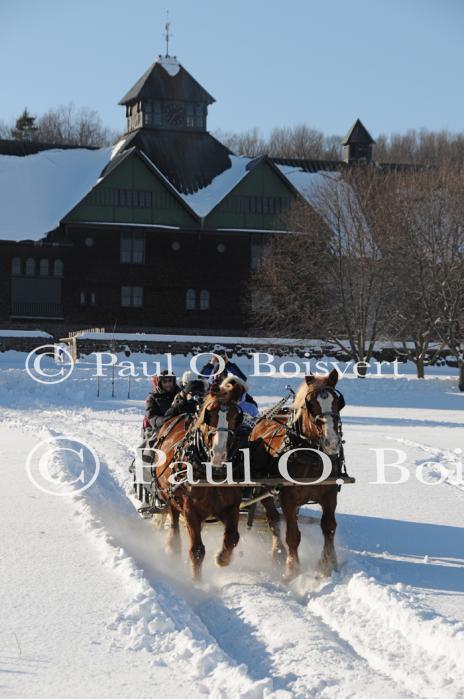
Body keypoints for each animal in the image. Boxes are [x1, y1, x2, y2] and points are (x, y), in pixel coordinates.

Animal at [154, 382, 245, 580]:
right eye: (208, 415)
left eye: (236, 416)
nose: (219, 455)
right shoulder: (190, 510)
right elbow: (196, 550)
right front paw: (197, 581)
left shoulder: (232, 506)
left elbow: (232, 537)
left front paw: (221, 559)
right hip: (170, 497)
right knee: (174, 523)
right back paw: (172, 550)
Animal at [250, 372, 344, 580]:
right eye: (311, 404)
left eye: (339, 402)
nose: (332, 442)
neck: (311, 455)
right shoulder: (288, 499)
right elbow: (293, 535)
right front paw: (292, 569)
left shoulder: (330, 495)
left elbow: (329, 527)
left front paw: (328, 565)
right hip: (264, 490)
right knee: (273, 520)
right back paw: (278, 553)